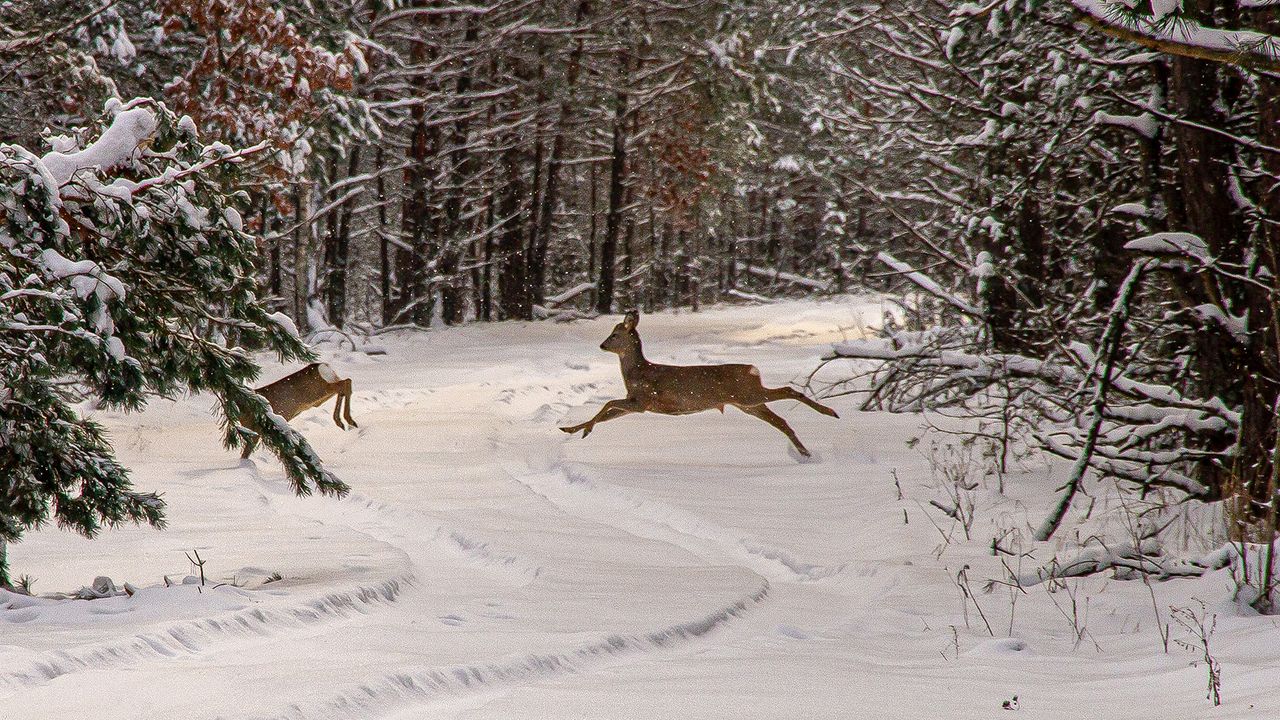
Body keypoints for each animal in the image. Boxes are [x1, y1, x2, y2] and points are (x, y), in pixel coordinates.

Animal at [560, 310, 838, 457]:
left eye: (615, 334)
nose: (602, 345)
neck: (638, 373)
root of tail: (752, 369)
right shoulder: (636, 403)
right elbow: (606, 413)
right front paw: (571, 429)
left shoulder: (643, 401)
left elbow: (607, 404)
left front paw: (583, 430)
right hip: (748, 403)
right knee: (780, 420)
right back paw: (805, 452)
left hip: (748, 395)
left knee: (789, 390)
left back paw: (830, 412)